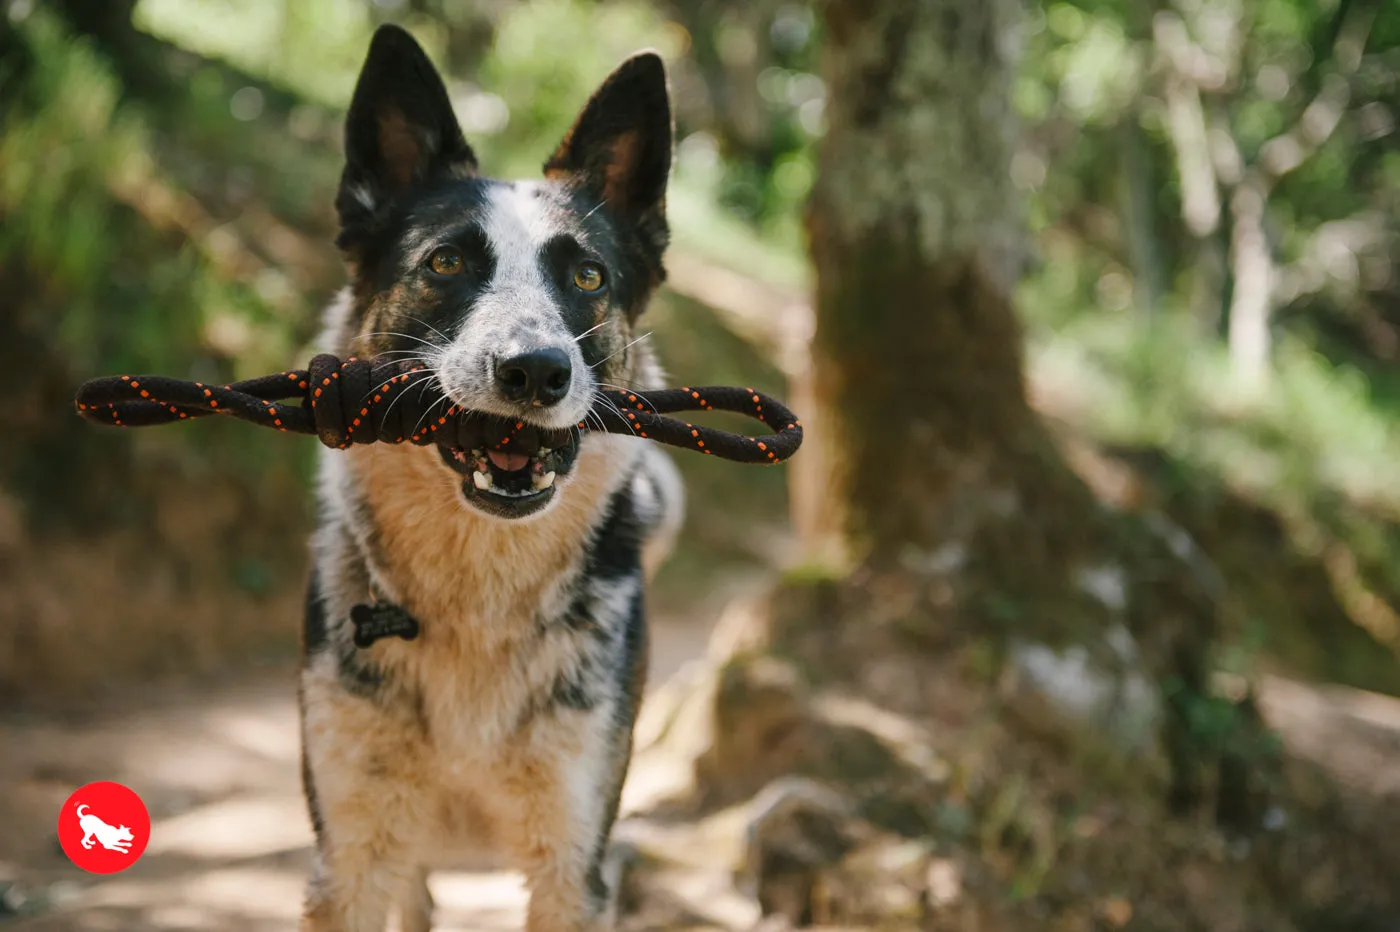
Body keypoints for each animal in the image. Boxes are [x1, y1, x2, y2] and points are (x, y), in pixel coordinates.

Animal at [299, 23, 683, 929]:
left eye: (588, 276)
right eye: (445, 264)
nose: (535, 371)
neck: (479, 595)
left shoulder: (573, 867)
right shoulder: (352, 858)